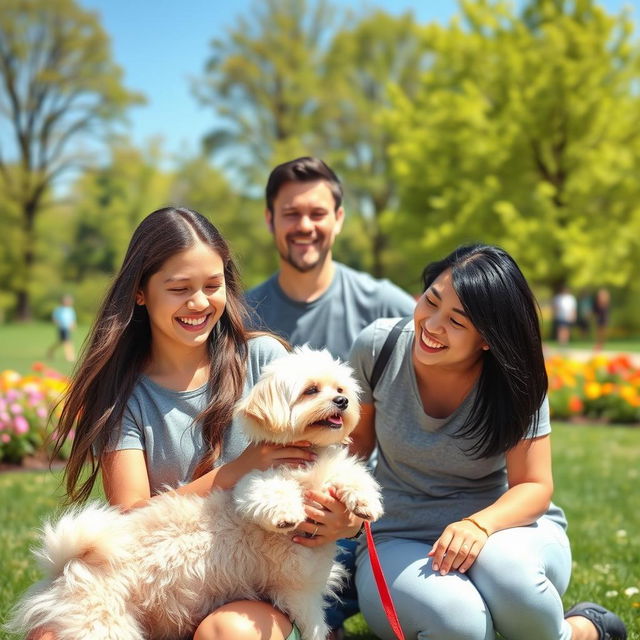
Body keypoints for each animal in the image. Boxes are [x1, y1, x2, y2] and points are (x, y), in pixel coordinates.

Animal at [8, 348, 380, 640]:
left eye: (341, 388)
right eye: (311, 390)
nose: (343, 401)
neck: (307, 462)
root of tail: (66, 565)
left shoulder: (305, 588)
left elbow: (353, 475)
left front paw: (365, 504)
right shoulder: (256, 483)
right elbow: (268, 490)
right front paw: (287, 514)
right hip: (102, 625)